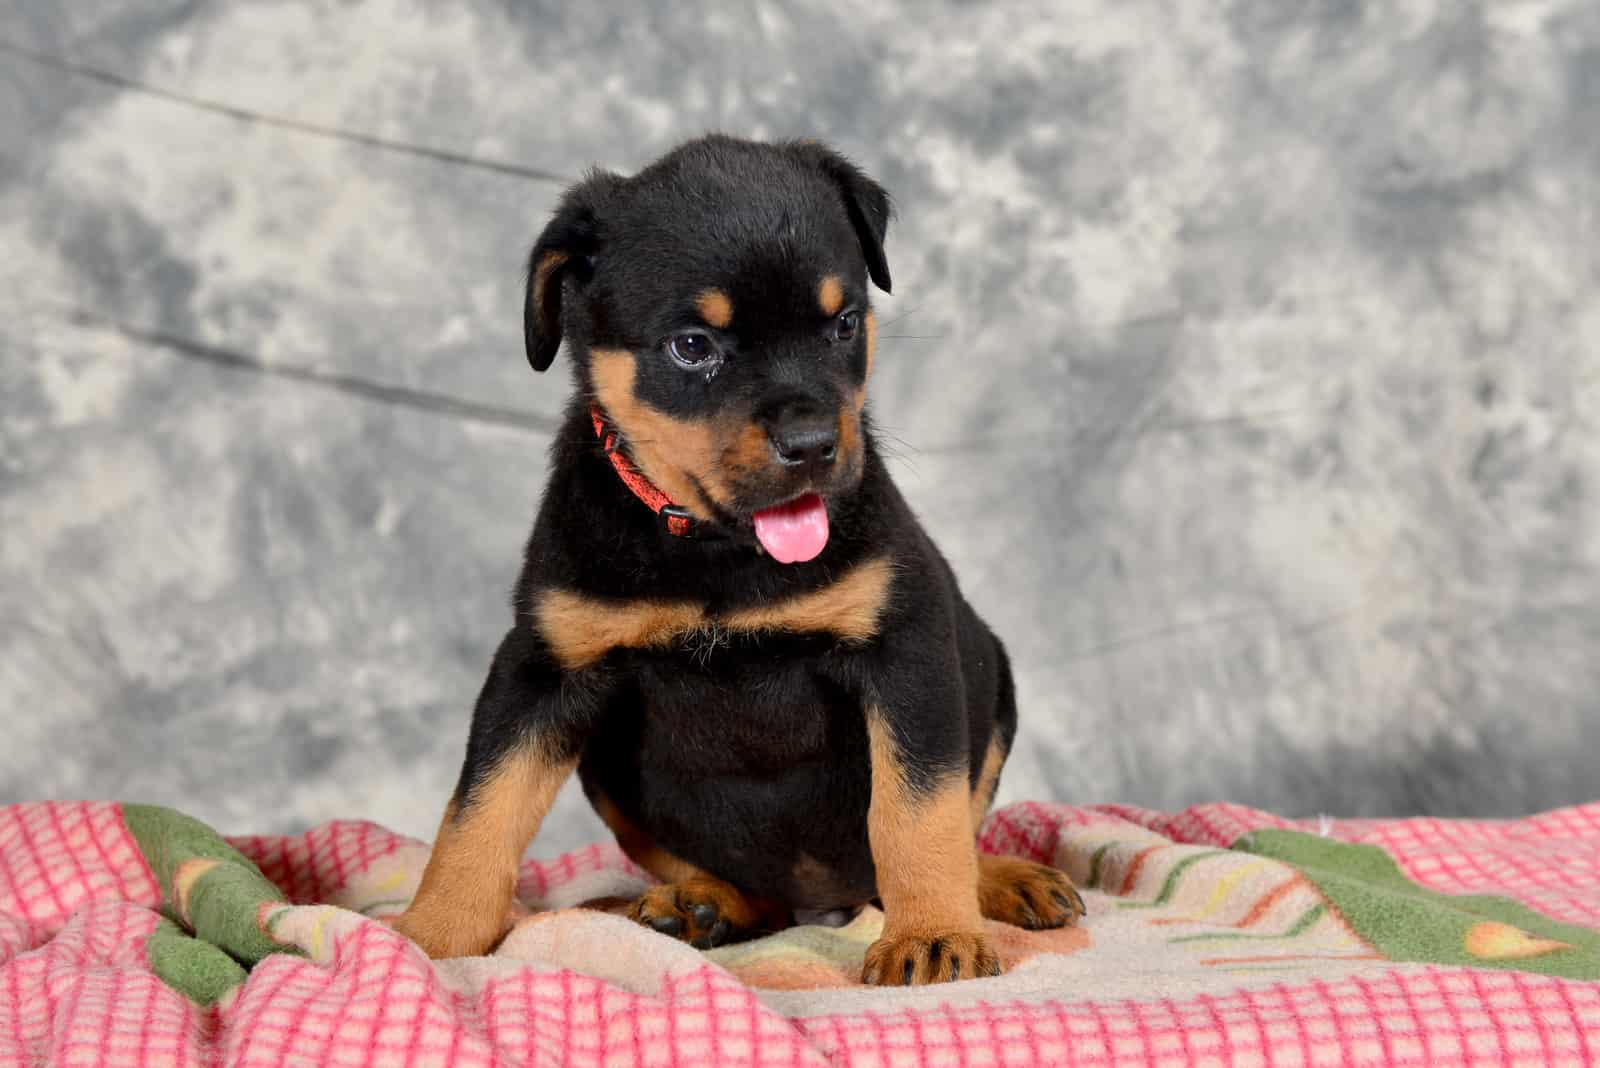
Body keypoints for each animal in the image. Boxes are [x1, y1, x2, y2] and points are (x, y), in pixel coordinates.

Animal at [393, 133, 1081, 984]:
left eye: (843, 324)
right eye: (693, 347)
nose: (814, 445)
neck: (719, 551)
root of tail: (827, 902)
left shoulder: (907, 650)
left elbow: (919, 812)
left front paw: (931, 935)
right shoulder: (542, 670)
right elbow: (479, 814)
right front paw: (428, 938)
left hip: (992, 678)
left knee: (953, 828)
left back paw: (1000, 882)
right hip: (607, 771)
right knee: (750, 890)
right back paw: (705, 903)